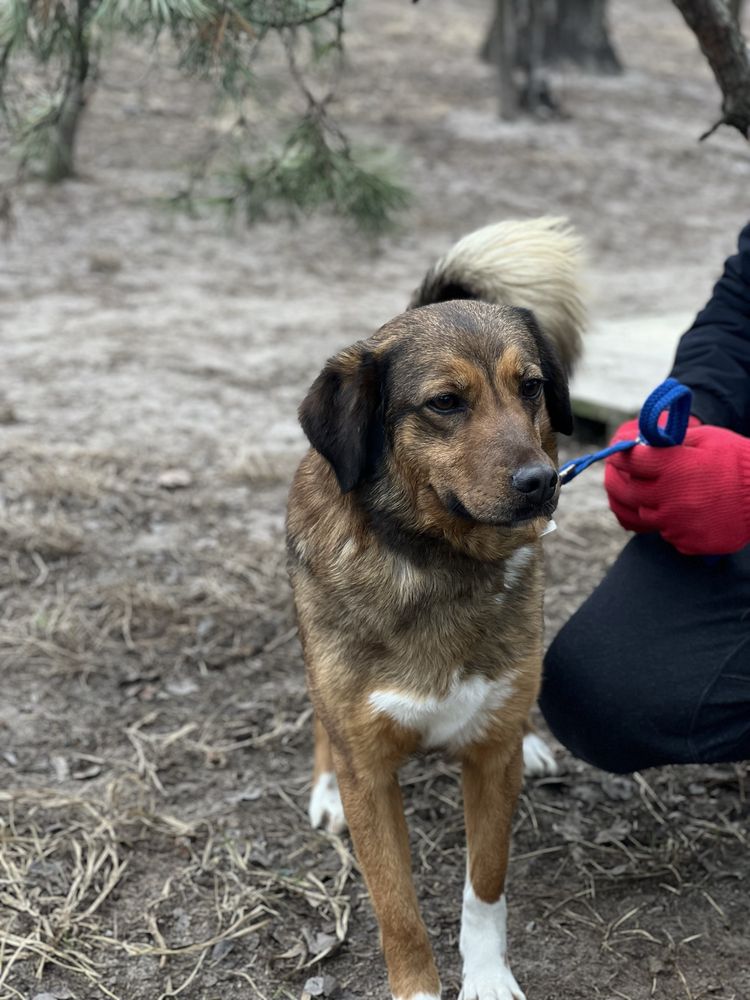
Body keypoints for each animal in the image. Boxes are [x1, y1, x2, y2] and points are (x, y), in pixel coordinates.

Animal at [288, 219, 588, 1000]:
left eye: (532, 387)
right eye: (445, 403)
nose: (542, 482)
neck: (436, 567)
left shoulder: (487, 768)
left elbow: (486, 889)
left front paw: (487, 978)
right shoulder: (372, 777)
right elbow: (398, 910)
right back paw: (323, 786)